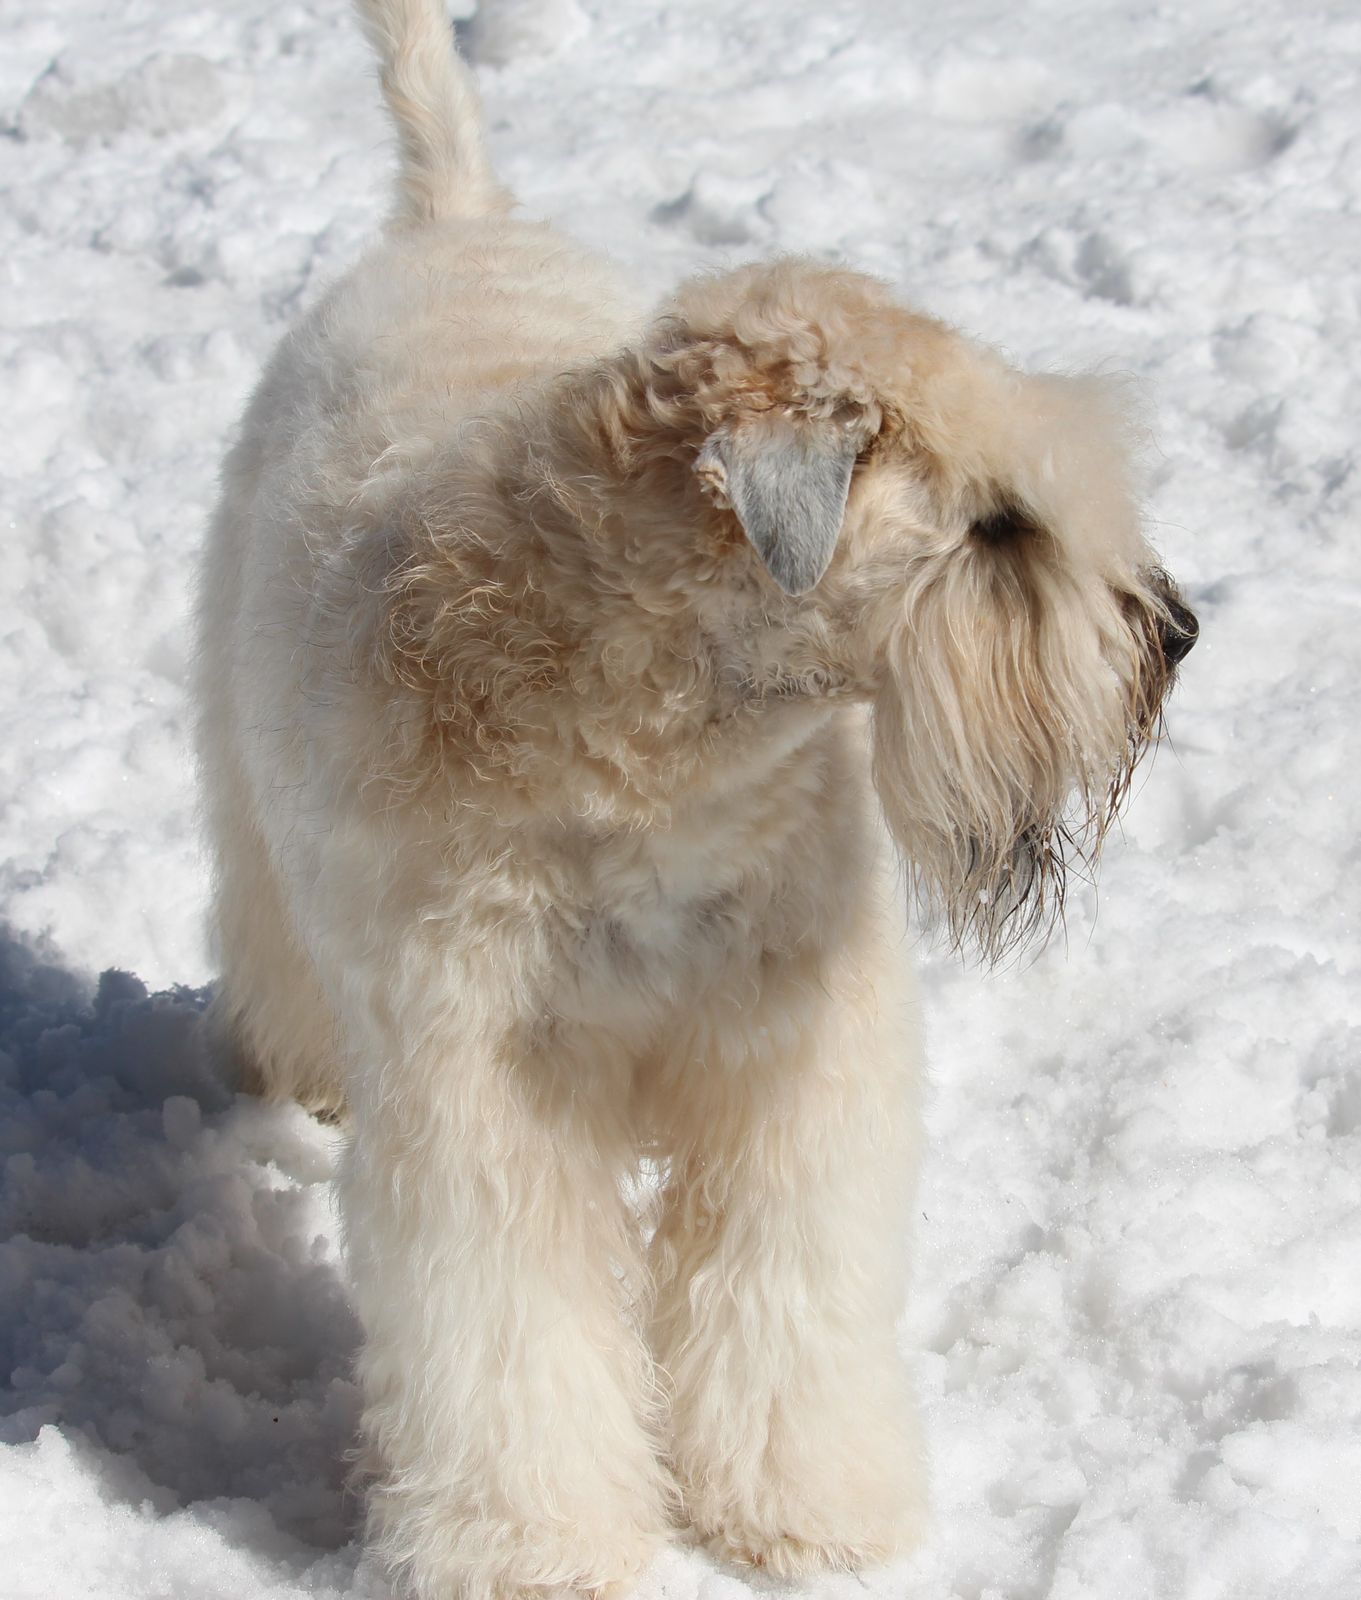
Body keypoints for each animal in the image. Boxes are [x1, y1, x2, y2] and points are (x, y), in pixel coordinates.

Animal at [194, 1, 1198, 1595]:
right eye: (996, 526)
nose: (1176, 632)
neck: (659, 755)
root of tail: (452, 219)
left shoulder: (792, 1063)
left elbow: (784, 1300)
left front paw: (809, 1509)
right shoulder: (491, 1103)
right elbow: (515, 1346)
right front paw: (537, 1547)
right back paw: (300, 1069)